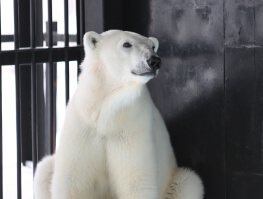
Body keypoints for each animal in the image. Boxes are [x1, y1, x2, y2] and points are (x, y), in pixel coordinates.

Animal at [34, 29, 205, 199]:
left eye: (152, 46)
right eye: (127, 44)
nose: (154, 61)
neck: (106, 115)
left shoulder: (131, 130)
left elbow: (137, 183)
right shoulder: (83, 127)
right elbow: (72, 182)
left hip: (177, 180)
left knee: (190, 183)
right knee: (44, 170)